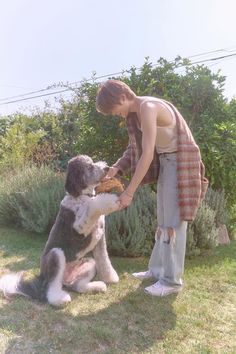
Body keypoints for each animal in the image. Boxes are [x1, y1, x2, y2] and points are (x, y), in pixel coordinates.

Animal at [0, 155, 120, 306]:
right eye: (89, 167)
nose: (107, 168)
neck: (82, 196)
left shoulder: (100, 239)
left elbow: (104, 260)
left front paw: (110, 278)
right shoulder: (79, 229)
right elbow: (92, 206)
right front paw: (109, 201)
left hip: (89, 263)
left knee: (77, 286)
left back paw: (97, 286)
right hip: (55, 255)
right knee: (52, 286)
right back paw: (60, 299)